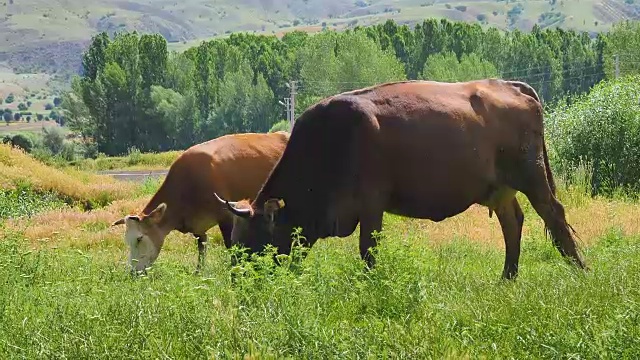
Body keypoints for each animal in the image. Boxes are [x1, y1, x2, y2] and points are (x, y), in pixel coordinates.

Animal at [111, 131, 288, 272]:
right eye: (127, 240)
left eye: (139, 238)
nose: (133, 271)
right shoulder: (197, 227)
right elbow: (201, 250)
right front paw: (199, 272)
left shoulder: (226, 216)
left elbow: (230, 245)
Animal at [216, 80, 592, 280]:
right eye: (233, 242)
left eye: (251, 244)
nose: (239, 285)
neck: (332, 141)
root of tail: (511, 85)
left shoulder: (371, 204)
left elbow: (368, 250)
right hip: (500, 189)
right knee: (512, 223)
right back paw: (506, 279)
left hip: (532, 177)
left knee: (554, 216)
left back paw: (580, 271)